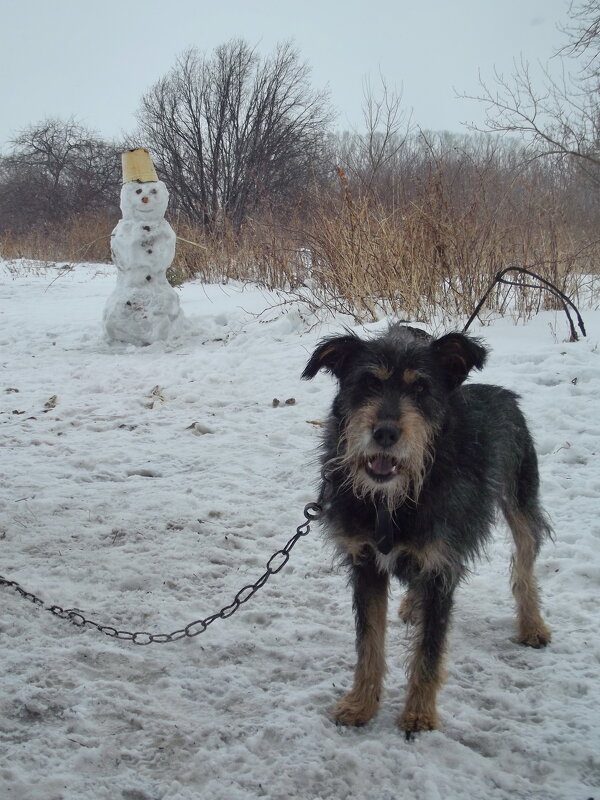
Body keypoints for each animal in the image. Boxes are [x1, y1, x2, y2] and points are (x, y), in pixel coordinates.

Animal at [302, 324, 552, 736]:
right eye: (368, 383)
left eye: (420, 388)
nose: (385, 433)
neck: (392, 500)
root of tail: (501, 392)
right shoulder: (366, 563)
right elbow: (368, 642)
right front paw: (361, 704)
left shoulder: (440, 568)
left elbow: (428, 652)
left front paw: (418, 715)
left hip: (521, 502)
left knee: (524, 564)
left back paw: (532, 624)